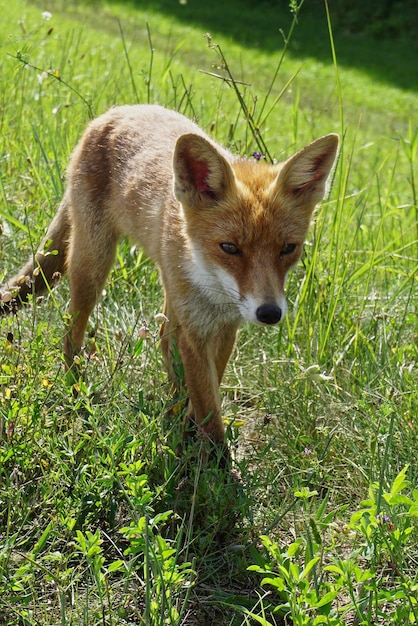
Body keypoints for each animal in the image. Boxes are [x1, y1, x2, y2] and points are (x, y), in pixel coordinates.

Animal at [0, 103, 340, 444]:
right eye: (229, 247)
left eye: (288, 248)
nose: (269, 313)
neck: (212, 286)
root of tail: (116, 111)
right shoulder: (195, 329)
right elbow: (207, 407)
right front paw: (210, 453)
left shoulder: (225, 324)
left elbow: (208, 389)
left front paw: (188, 429)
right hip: (92, 267)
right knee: (71, 334)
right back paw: (77, 389)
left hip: (164, 293)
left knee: (164, 339)